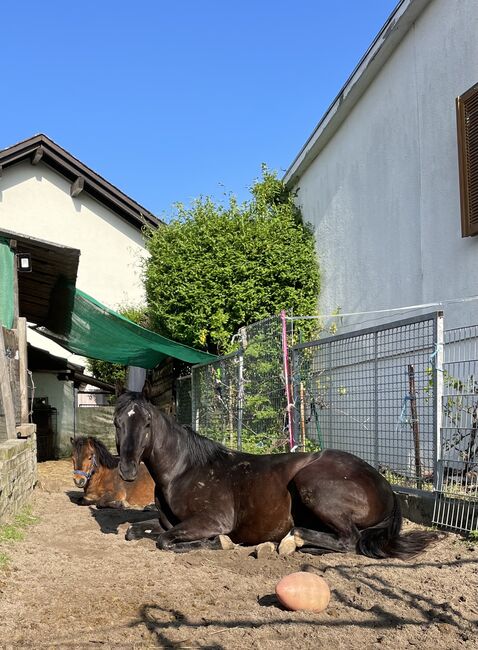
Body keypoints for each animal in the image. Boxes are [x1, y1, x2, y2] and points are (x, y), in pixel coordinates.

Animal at [114, 388, 438, 556]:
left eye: (146, 424)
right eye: (118, 422)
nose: (127, 470)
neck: (185, 471)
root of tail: (385, 486)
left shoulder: (212, 520)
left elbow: (165, 541)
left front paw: (217, 542)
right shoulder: (168, 522)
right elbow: (134, 531)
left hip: (312, 484)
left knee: (349, 540)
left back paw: (292, 541)